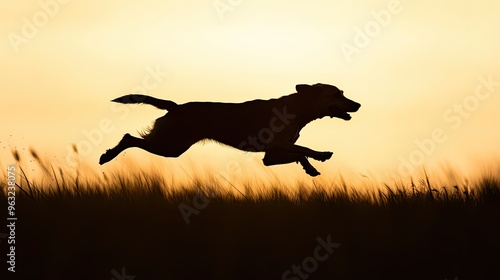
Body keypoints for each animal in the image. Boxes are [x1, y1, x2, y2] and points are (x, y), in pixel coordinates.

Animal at [99, 83, 362, 176]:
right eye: (337, 94)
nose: (358, 105)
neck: (299, 108)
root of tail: (176, 107)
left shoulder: (271, 156)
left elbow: (299, 152)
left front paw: (310, 168)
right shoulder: (276, 146)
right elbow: (305, 148)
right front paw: (321, 155)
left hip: (171, 145)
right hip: (170, 146)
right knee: (128, 138)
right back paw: (107, 155)